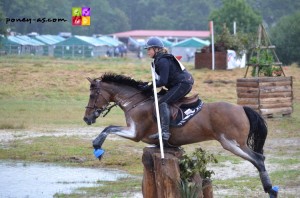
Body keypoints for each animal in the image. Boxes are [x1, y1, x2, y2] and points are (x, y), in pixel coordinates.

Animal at [83, 73, 278, 197]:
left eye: (93, 95)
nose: (87, 118)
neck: (136, 102)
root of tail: (241, 108)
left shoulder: (135, 133)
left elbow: (108, 128)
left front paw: (97, 148)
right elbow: (109, 128)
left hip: (231, 142)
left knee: (258, 159)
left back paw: (270, 189)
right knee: (258, 158)